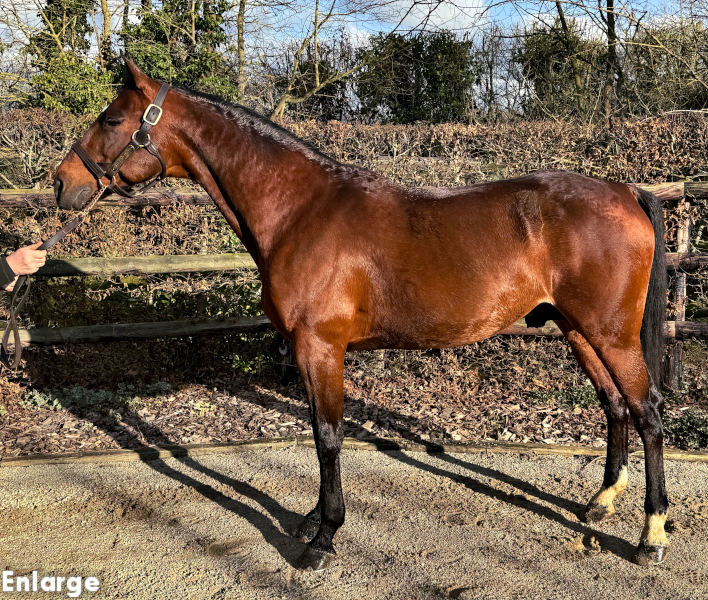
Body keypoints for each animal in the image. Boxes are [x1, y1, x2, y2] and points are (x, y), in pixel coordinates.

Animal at [53, 59, 669, 571]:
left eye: (111, 119)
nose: (62, 183)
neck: (300, 210)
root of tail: (625, 190)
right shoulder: (310, 352)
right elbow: (318, 433)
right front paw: (310, 521)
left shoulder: (320, 347)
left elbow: (328, 436)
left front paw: (324, 537)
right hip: (579, 330)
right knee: (614, 405)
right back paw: (602, 502)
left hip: (612, 334)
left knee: (647, 412)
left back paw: (652, 535)